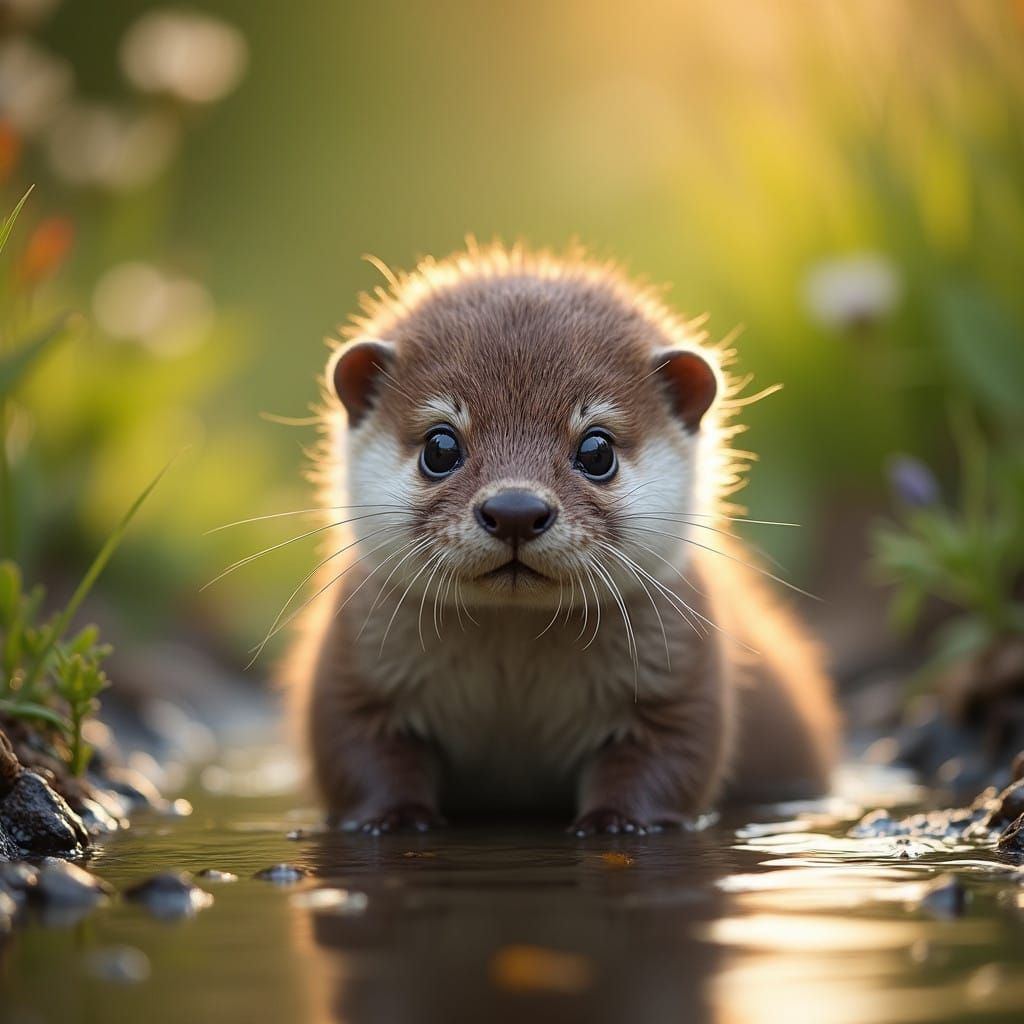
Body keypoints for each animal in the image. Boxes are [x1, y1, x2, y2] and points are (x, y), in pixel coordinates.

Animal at [287, 243, 839, 835]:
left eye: (597, 450)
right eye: (440, 446)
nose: (515, 510)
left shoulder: (679, 681)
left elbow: (670, 762)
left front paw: (617, 823)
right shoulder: (354, 672)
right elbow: (357, 757)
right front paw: (392, 819)